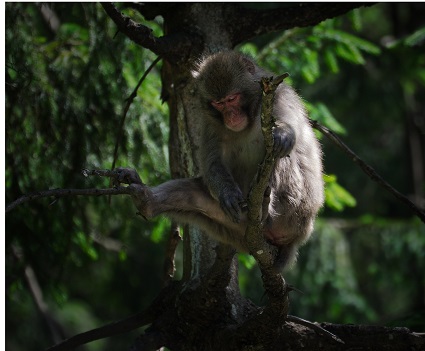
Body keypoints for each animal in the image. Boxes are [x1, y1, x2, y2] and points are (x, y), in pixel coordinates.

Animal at [115, 50, 322, 270]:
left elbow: (287, 138)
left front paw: (283, 134)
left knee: (279, 156)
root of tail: (297, 238)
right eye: (219, 104)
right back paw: (146, 200)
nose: (230, 116)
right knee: (193, 194)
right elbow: (212, 163)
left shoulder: (280, 96)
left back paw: (265, 209)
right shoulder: (209, 121)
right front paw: (227, 194)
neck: (253, 112)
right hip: (233, 229)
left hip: (294, 214)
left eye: (232, 99)